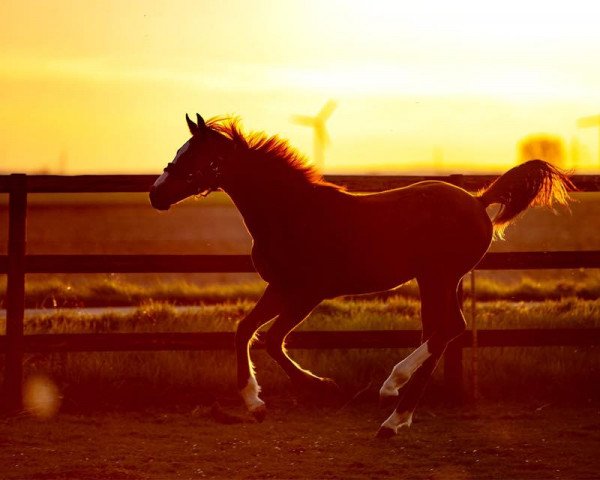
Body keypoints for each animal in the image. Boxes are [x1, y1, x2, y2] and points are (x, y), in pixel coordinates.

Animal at [149, 114, 572, 436]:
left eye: (194, 156)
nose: (155, 193)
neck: (293, 212)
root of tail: (478, 201)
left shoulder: (309, 292)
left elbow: (272, 339)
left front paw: (321, 386)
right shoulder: (280, 287)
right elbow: (244, 331)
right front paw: (254, 404)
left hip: (439, 276)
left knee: (450, 328)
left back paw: (392, 389)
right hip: (434, 280)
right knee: (440, 331)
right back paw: (396, 418)